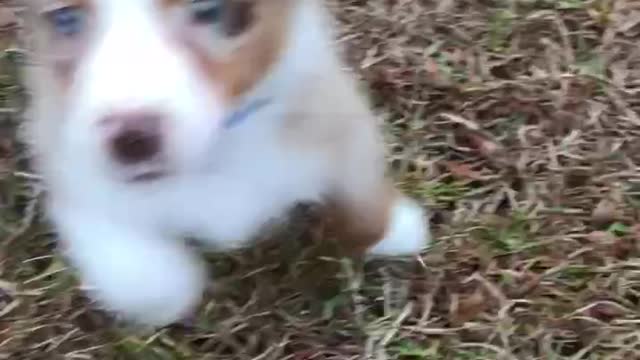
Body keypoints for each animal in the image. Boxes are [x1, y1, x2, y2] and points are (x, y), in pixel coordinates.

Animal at [22, 0, 430, 328]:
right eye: (66, 18)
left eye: (210, 10)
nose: (132, 140)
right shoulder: (71, 163)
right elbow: (149, 283)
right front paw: (166, 299)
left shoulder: (328, 106)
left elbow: (361, 199)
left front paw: (398, 230)